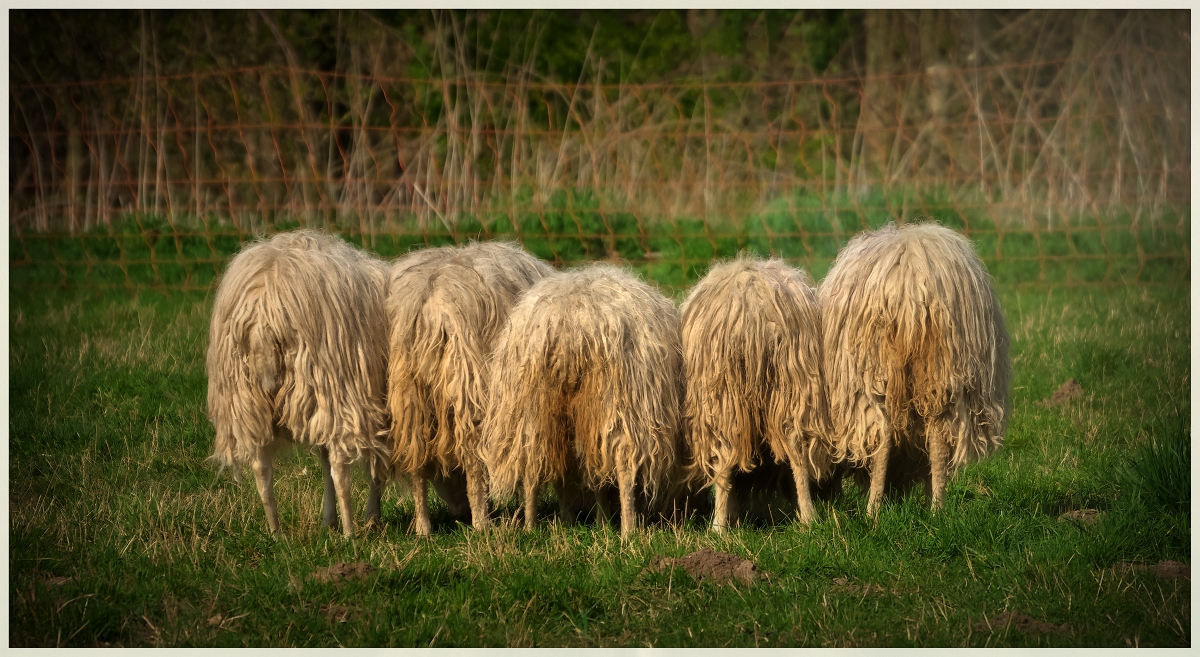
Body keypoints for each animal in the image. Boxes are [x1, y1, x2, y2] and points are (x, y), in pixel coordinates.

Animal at [207, 228, 388, 537]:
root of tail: (263, 315)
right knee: (339, 466)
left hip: (244, 399)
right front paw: (370, 516)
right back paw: (350, 533)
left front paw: (331, 519)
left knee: (261, 467)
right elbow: (375, 468)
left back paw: (276, 532)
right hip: (334, 391)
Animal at [384, 239, 552, 534]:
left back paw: (424, 528)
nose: (459, 511)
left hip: (409, 394)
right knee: (474, 461)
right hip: (468, 385)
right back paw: (482, 523)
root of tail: (428, 306)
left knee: (418, 464)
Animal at [480, 263, 686, 537]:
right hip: (617, 403)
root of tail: (569, 325)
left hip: (530, 406)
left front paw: (587, 520)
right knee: (624, 466)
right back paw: (628, 530)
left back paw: (530, 526)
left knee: (532, 463)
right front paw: (604, 520)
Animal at [681, 258, 840, 532]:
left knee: (727, 461)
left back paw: (719, 527)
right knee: (796, 455)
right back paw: (808, 517)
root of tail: (751, 307)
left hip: (726, 397)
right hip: (789, 385)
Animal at [816, 222, 1012, 515]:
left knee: (884, 434)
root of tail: (911, 286)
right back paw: (937, 509)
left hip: (871, 371)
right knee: (939, 437)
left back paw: (873, 510)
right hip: (947, 370)